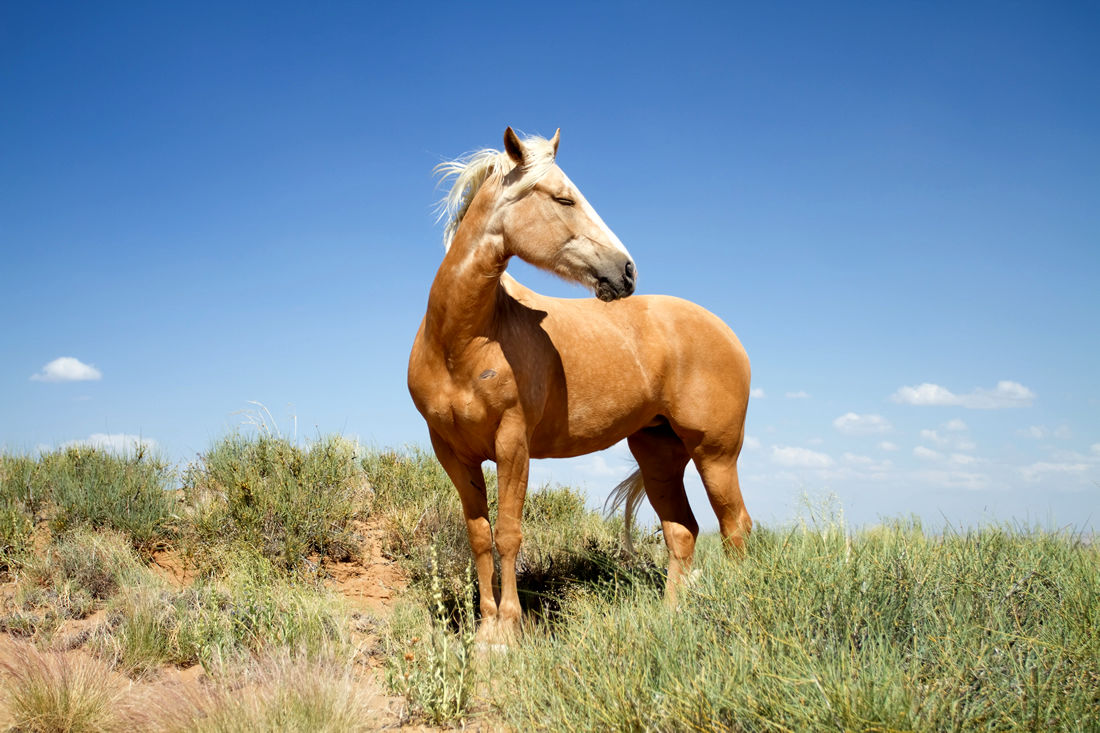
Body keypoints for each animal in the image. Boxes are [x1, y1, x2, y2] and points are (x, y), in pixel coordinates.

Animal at [409, 127, 752, 638]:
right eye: (564, 198)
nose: (627, 270)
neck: (462, 342)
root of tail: (728, 334)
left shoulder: (513, 444)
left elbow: (508, 533)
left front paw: (507, 631)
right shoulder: (452, 452)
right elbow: (479, 536)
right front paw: (486, 628)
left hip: (716, 454)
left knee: (735, 529)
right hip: (659, 454)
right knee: (682, 531)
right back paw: (671, 620)